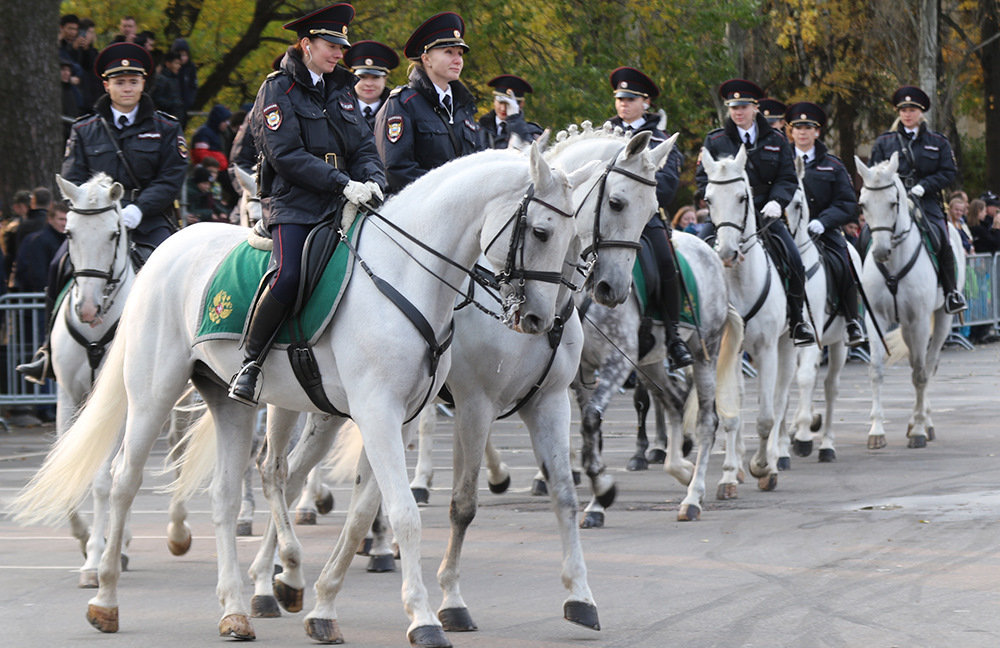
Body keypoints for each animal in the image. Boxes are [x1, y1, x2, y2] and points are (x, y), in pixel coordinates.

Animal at [13, 144, 580, 644]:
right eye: (541, 230)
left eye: (571, 234)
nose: (537, 318)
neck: (407, 278)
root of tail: (169, 248)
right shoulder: (377, 413)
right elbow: (403, 513)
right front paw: (422, 618)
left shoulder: (394, 418)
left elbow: (362, 516)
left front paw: (323, 607)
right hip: (153, 393)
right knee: (123, 481)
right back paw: (106, 595)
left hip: (231, 403)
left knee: (227, 495)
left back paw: (236, 609)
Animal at [700, 146, 800, 492]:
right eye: (708, 198)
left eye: (743, 197)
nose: (727, 253)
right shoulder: (727, 348)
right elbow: (731, 415)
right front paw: (731, 473)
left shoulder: (767, 349)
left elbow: (767, 417)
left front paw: (763, 468)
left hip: (787, 345)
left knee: (780, 400)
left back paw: (774, 457)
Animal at [784, 162, 864, 466]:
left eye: (797, 203)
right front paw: (797, 428)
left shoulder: (812, 339)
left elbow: (806, 378)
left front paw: (805, 438)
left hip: (839, 342)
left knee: (830, 386)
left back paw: (826, 443)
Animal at [852, 154, 960, 448]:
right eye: (863, 204)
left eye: (893, 202)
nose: (880, 252)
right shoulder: (875, 318)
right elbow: (876, 370)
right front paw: (876, 430)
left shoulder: (921, 320)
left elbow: (920, 373)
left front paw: (920, 430)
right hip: (907, 326)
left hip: (940, 319)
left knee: (928, 364)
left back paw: (924, 422)